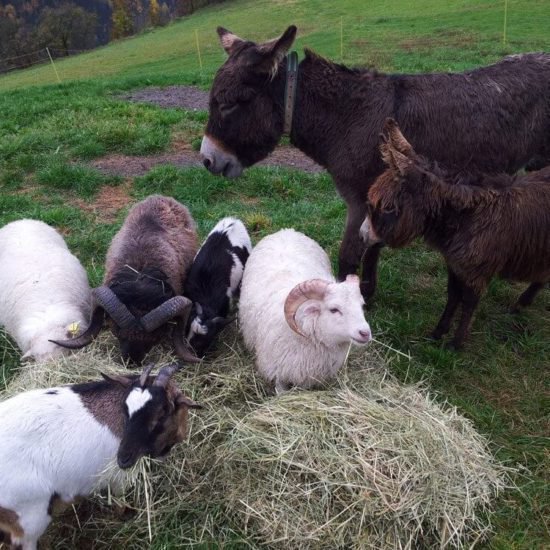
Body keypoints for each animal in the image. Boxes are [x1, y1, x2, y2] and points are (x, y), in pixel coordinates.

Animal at [0, 364, 203, 548]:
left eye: (162, 414)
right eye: (126, 409)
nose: (123, 458)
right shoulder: (118, 478)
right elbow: (120, 499)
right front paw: (127, 514)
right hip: (29, 520)